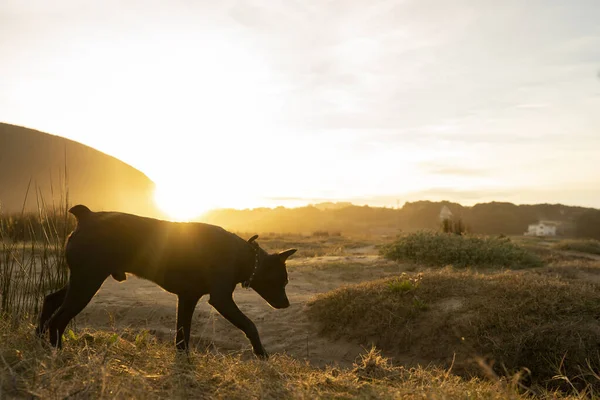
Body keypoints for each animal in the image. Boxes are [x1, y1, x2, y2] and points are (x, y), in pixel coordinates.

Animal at [36, 205, 296, 358]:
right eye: (283, 281)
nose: (287, 304)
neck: (244, 255)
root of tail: (86, 216)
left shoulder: (188, 298)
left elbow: (182, 336)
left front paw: (183, 362)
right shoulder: (222, 300)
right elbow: (249, 325)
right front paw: (261, 353)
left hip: (81, 280)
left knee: (50, 300)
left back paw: (38, 340)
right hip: (87, 284)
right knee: (58, 320)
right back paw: (57, 353)